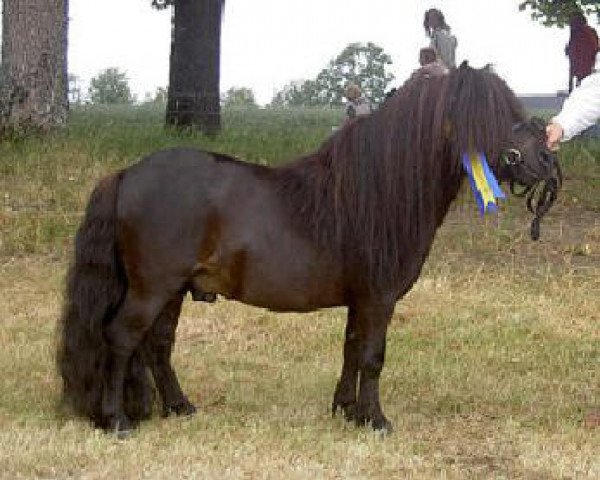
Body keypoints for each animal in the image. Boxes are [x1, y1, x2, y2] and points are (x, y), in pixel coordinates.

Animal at [58, 63, 560, 436]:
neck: (377, 190)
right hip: (152, 287)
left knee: (157, 346)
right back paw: (116, 420)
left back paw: (181, 407)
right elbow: (373, 357)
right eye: (490, 114)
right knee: (122, 339)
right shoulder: (378, 298)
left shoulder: (361, 300)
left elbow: (352, 349)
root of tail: (127, 173)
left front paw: (346, 410)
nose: (545, 161)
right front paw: (376, 420)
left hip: (174, 290)